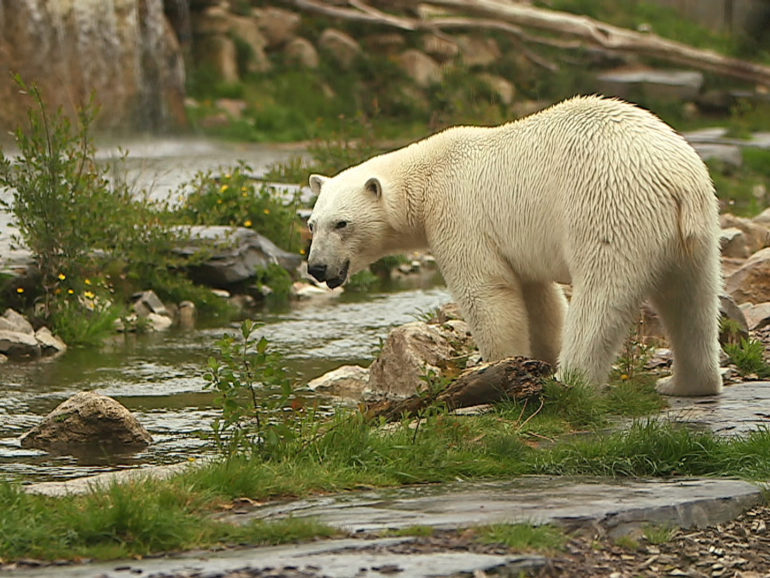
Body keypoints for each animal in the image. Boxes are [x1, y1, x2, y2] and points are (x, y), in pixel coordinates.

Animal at [304, 98, 720, 396]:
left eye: (342, 224)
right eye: (312, 224)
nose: (317, 268)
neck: (426, 178)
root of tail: (677, 179)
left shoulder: (459, 216)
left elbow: (487, 293)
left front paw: (495, 369)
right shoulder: (516, 244)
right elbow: (540, 300)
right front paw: (536, 360)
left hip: (609, 207)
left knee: (601, 297)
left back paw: (571, 384)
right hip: (696, 228)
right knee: (692, 299)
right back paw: (685, 384)